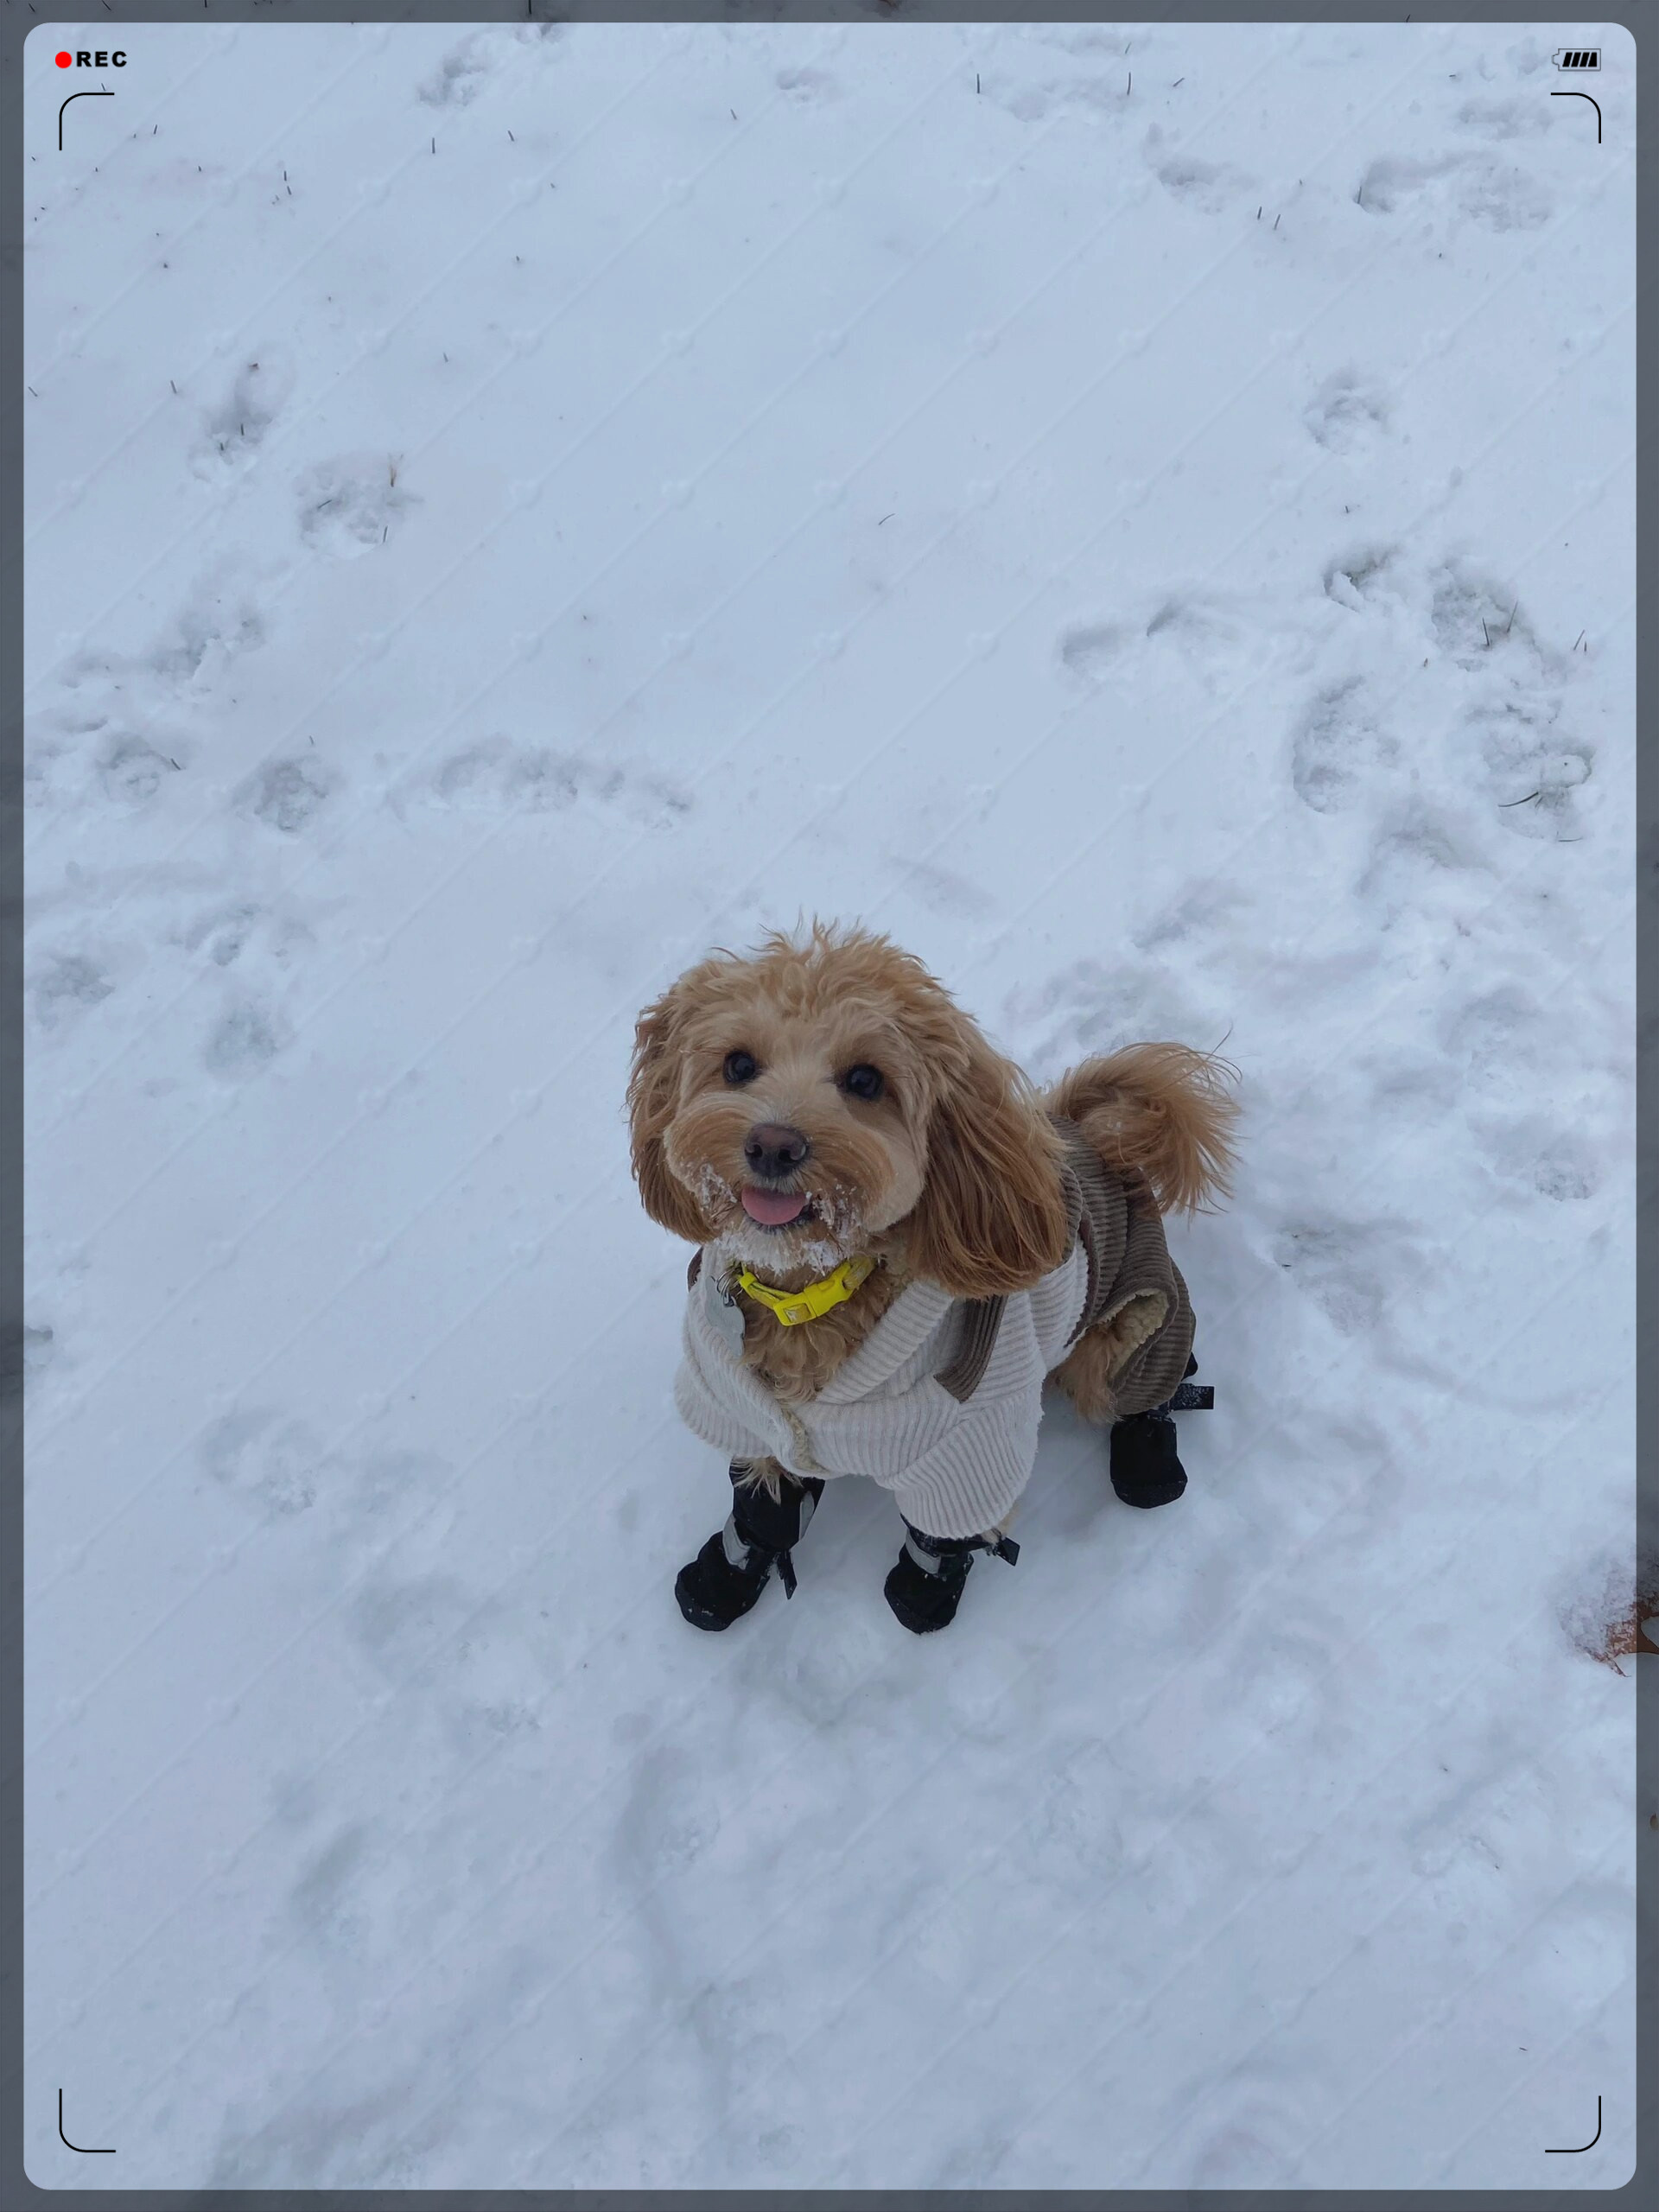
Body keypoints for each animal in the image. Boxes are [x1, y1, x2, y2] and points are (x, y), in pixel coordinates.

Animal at [628, 925, 1238, 1637]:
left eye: (866, 1080)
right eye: (738, 1065)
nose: (773, 1145)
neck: (806, 1297)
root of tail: (1097, 1142)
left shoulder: (974, 1441)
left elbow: (944, 1534)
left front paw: (924, 1590)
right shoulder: (742, 1411)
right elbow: (761, 1502)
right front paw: (728, 1567)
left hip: (1122, 1339)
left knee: (1153, 1383)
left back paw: (1150, 1453)